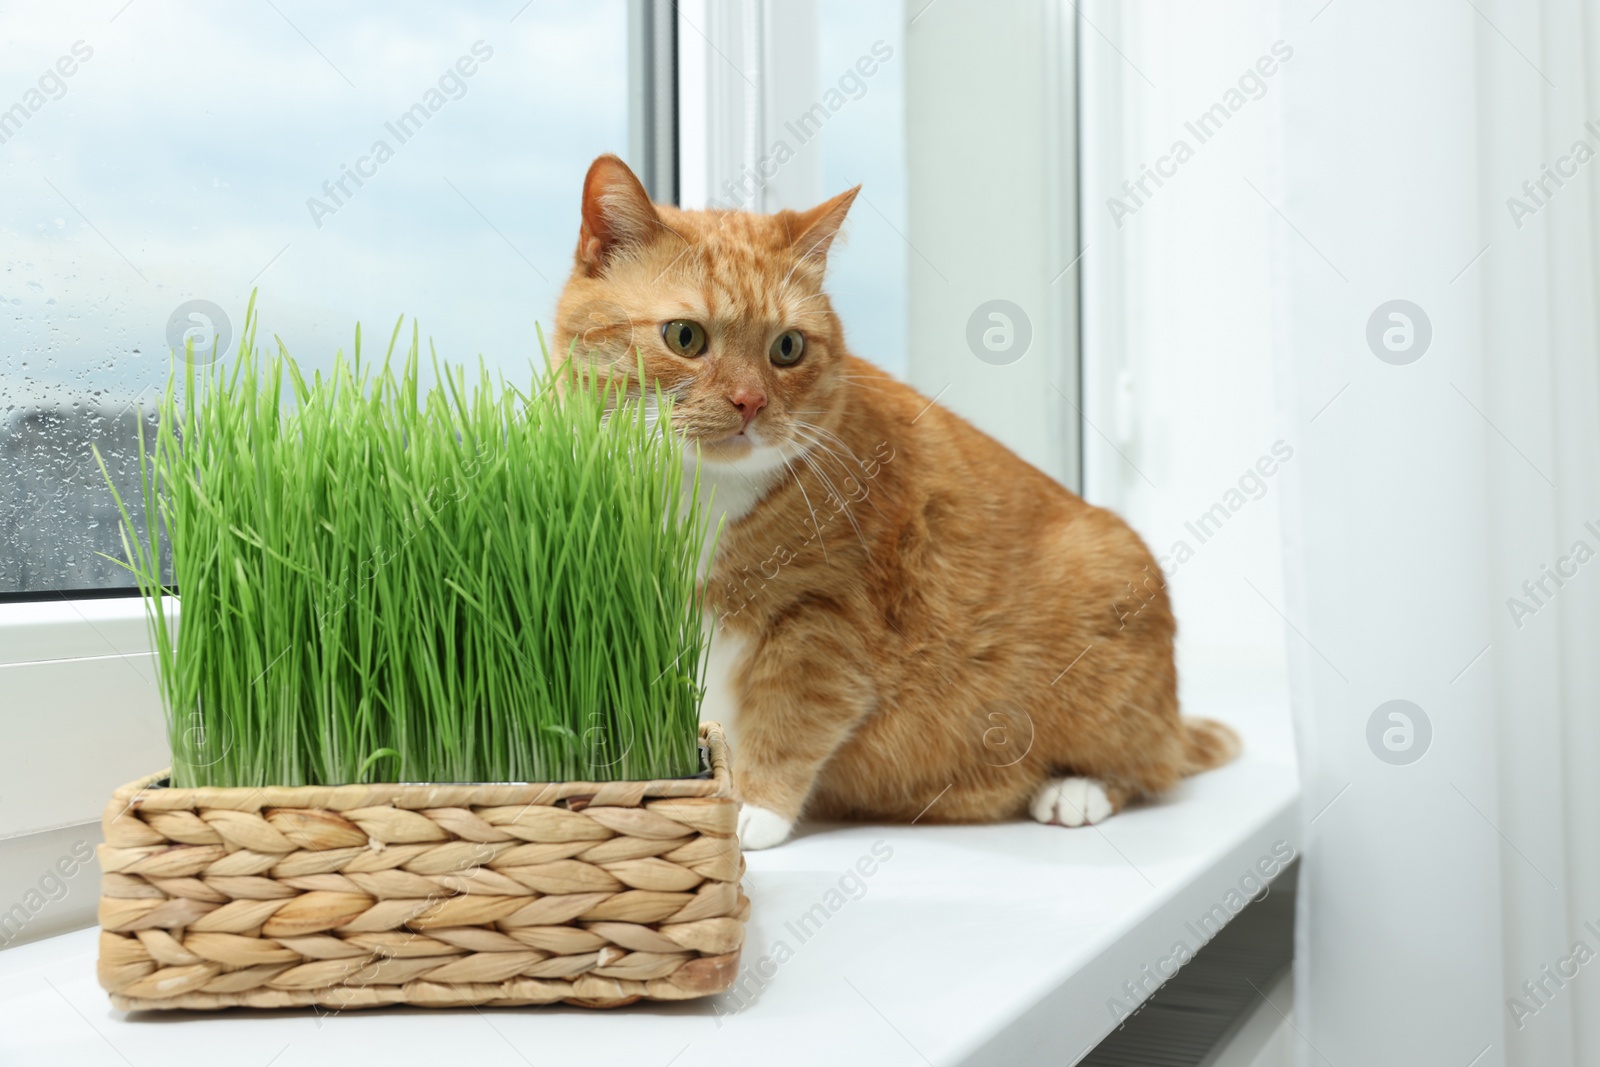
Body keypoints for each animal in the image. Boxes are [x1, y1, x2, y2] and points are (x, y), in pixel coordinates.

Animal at [556, 154, 1241, 851]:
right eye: (685, 337)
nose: (751, 402)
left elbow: (788, 721)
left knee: (1149, 766)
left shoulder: (825, 626)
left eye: (787, 348)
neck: (696, 494)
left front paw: (751, 806)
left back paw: (1074, 791)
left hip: (1112, 589)